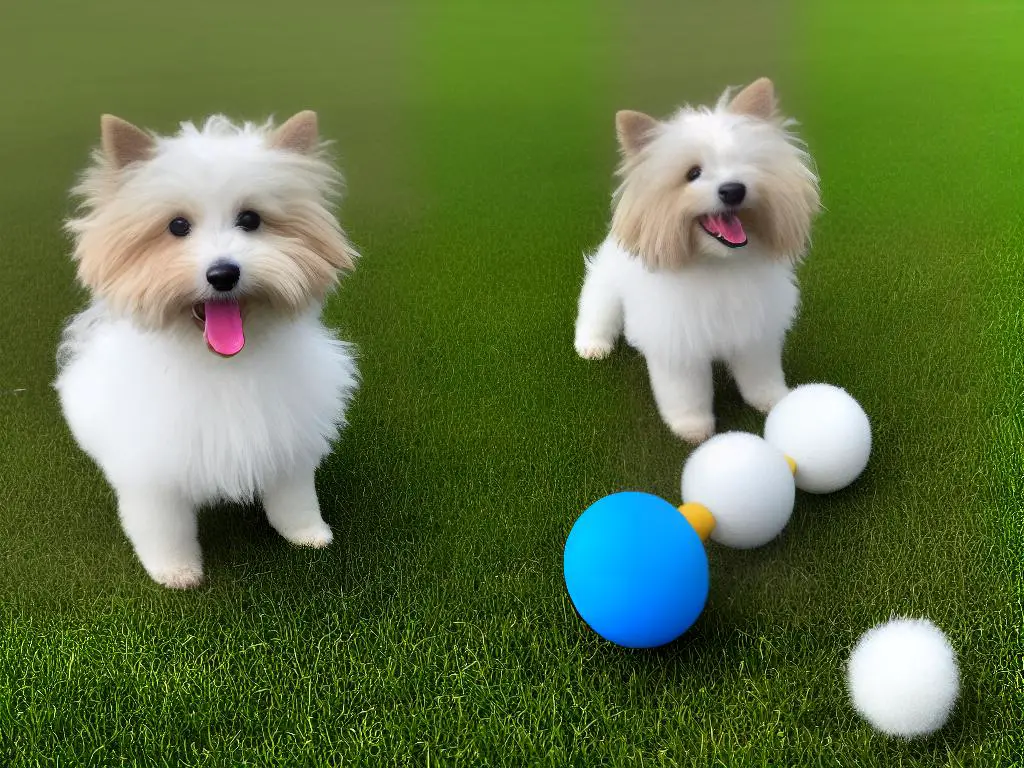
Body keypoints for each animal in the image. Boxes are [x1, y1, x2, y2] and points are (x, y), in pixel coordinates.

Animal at [56, 111, 362, 589]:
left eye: (251, 219)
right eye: (177, 226)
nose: (223, 274)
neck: (222, 366)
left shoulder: (287, 440)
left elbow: (294, 499)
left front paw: (309, 534)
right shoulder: (151, 475)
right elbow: (164, 529)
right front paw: (176, 572)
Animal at [577, 78, 823, 444]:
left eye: (745, 165)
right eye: (693, 173)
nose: (733, 189)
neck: (719, 266)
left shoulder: (756, 334)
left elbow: (761, 377)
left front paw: (774, 401)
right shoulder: (680, 348)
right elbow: (687, 395)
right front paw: (693, 429)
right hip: (605, 286)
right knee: (595, 313)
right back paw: (593, 346)